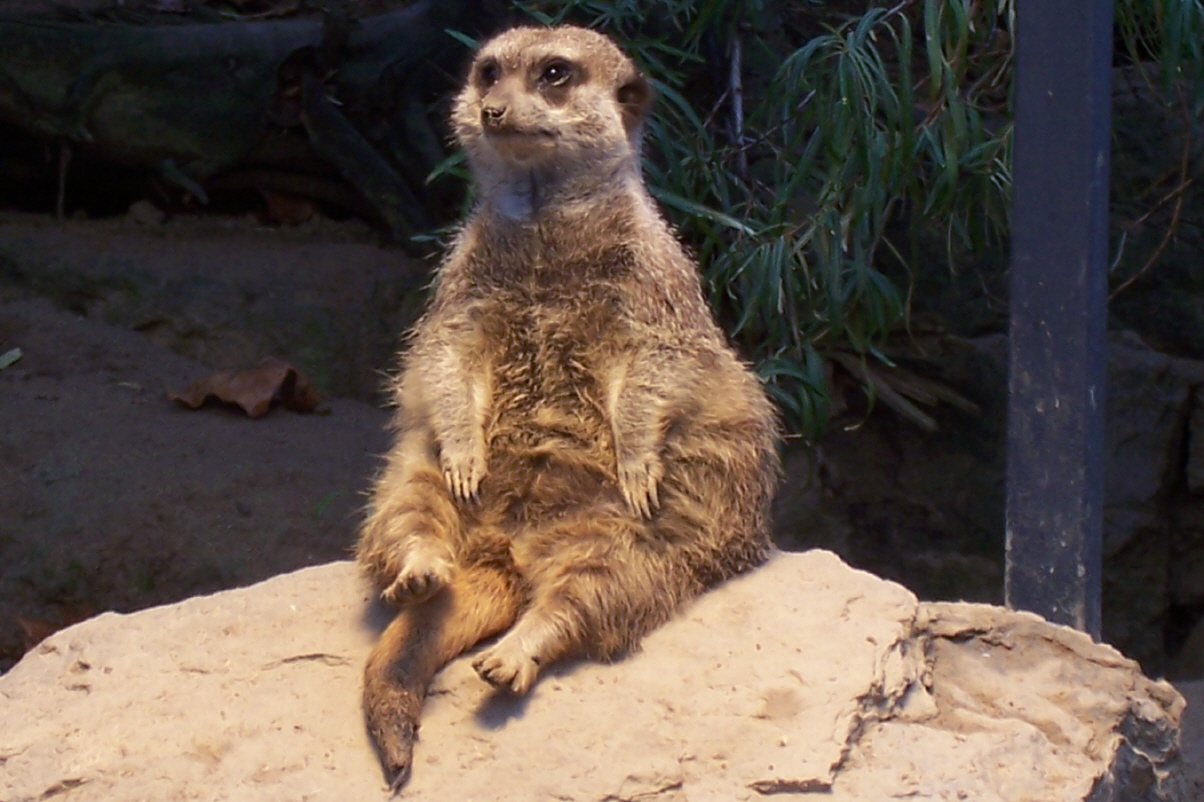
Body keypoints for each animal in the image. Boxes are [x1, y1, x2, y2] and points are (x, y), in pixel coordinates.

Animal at [356, 25, 780, 789]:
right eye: (488, 71)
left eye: (555, 74)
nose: (493, 109)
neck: (544, 225)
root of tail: (508, 549)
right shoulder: (462, 282)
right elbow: (442, 354)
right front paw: (465, 447)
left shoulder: (654, 288)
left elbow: (657, 370)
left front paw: (636, 456)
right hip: (412, 477)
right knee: (406, 511)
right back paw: (423, 568)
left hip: (631, 538)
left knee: (600, 590)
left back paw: (515, 650)